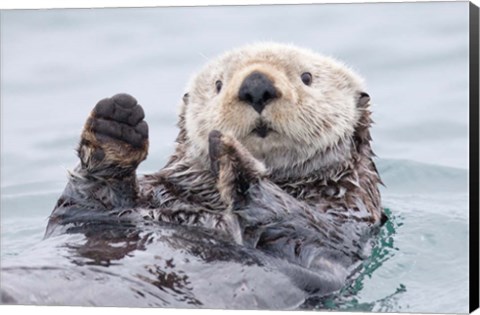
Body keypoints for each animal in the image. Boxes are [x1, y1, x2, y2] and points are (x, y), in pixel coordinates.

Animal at [44, 43, 382, 300]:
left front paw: (233, 156)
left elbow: (302, 222)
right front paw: (116, 124)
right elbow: (85, 204)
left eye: (307, 77)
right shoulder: (110, 209)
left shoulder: (344, 222)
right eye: (218, 84)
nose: (256, 85)